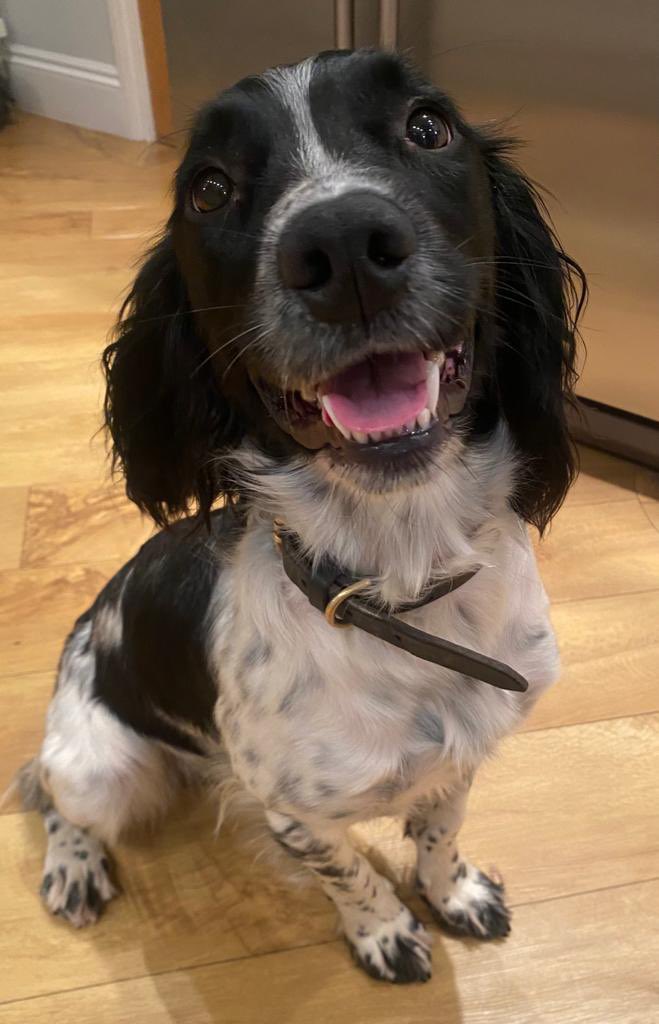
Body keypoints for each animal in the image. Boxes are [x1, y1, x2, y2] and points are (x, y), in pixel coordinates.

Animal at [20, 49, 585, 983]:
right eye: (208, 188)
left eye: (427, 126)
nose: (345, 244)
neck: (399, 590)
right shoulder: (291, 810)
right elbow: (347, 869)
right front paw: (384, 930)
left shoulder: (461, 758)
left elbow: (439, 830)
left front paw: (453, 891)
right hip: (99, 764)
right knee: (55, 796)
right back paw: (73, 866)